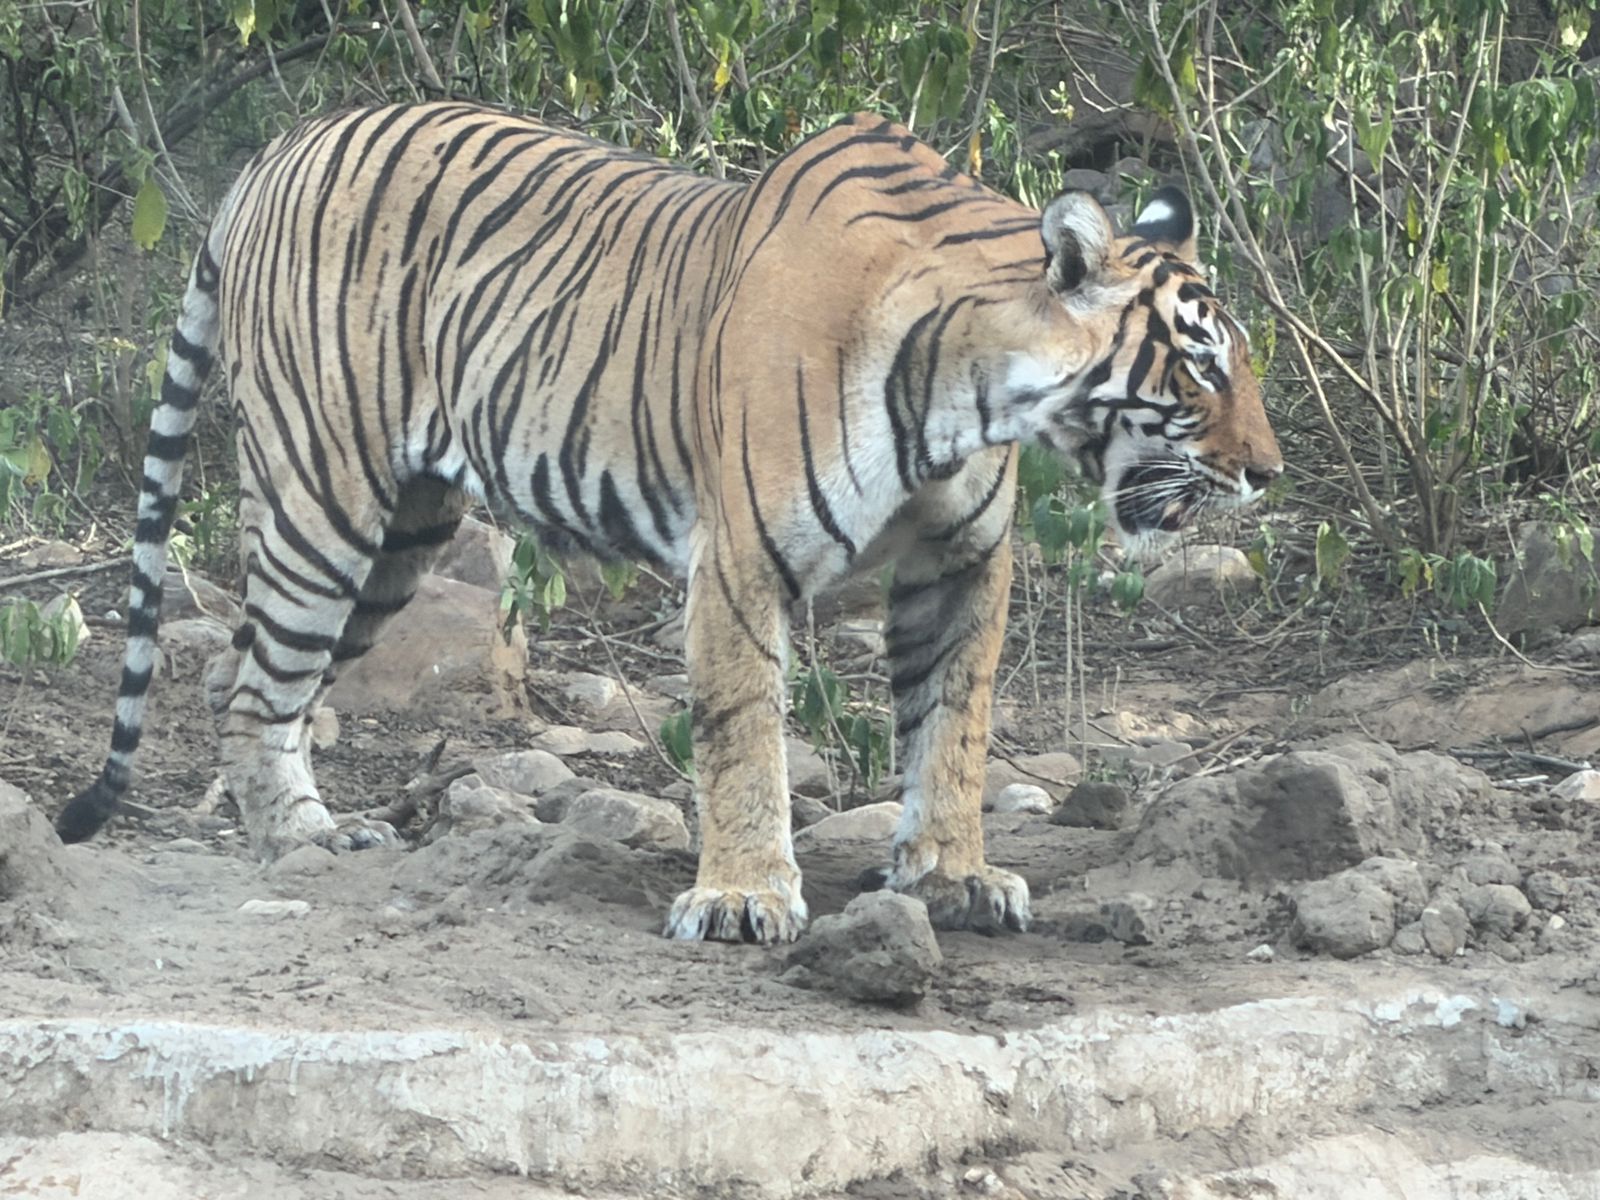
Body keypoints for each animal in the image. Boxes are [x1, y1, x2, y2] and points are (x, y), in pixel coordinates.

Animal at [57, 102, 1282, 944]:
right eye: (1200, 361)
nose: (1267, 472)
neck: (972, 388)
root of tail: (276, 149)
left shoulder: (961, 563)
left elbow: (954, 726)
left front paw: (950, 877)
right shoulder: (739, 557)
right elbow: (745, 731)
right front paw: (743, 898)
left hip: (397, 537)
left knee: (251, 677)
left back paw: (309, 824)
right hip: (324, 494)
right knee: (256, 682)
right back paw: (302, 844)